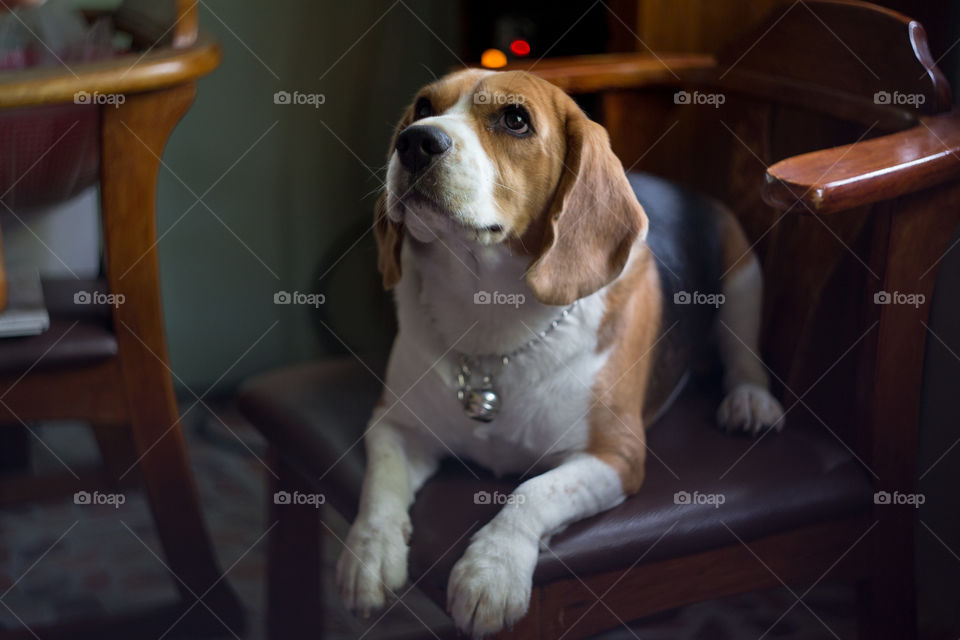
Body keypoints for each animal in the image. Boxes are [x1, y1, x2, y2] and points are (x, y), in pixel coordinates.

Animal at [334, 67, 784, 636]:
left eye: (515, 119)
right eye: (422, 107)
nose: (414, 142)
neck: (487, 312)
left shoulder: (615, 457)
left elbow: (532, 493)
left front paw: (492, 571)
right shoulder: (394, 425)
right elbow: (381, 487)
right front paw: (369, 555)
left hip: (744, 275)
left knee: (745, 355)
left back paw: (750, 401)